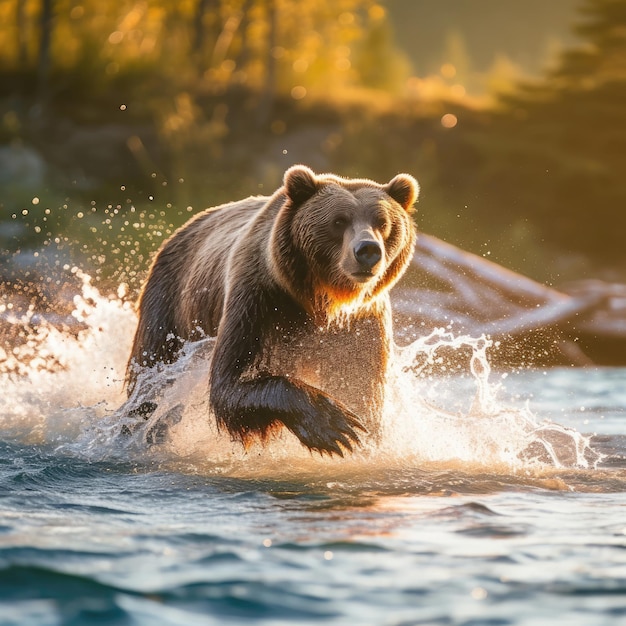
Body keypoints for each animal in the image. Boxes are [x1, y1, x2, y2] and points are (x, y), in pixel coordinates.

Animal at [125, 165, 420, 454]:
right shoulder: (260, 300)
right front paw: (332, 424)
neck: (323, 300)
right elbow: (231, 383)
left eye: (383, 223)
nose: (368, 250)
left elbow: (361, 389)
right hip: (170, 300)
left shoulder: (361, 323)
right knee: (151, 372)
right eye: (338, 221)